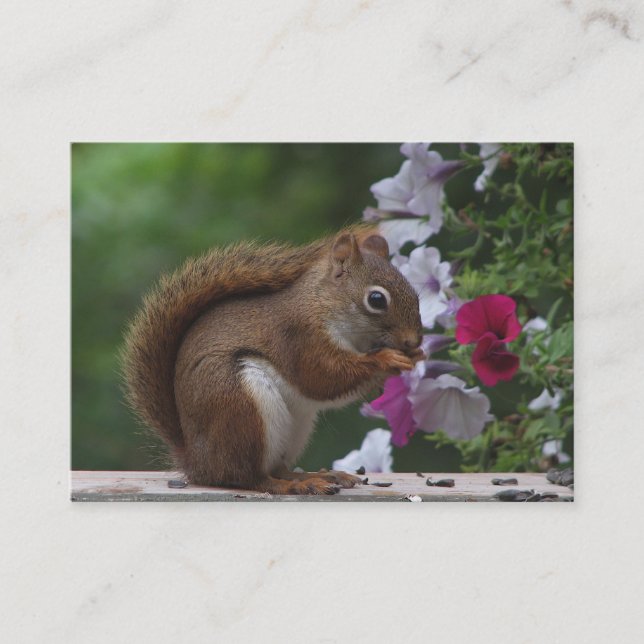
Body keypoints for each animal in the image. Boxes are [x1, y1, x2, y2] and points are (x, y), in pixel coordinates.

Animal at [121, 226, 424, 495]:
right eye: (376, 299)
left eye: (415, 293)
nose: (413, 341)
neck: (323, 303)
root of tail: (196, 462)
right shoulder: (300, 337)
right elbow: (322, 378)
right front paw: (386, 358)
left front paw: (416, 356)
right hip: (240, 407)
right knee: (248, 477)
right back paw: (295, 485)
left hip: (295, 427)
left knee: (276, 468)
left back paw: (320, 476)